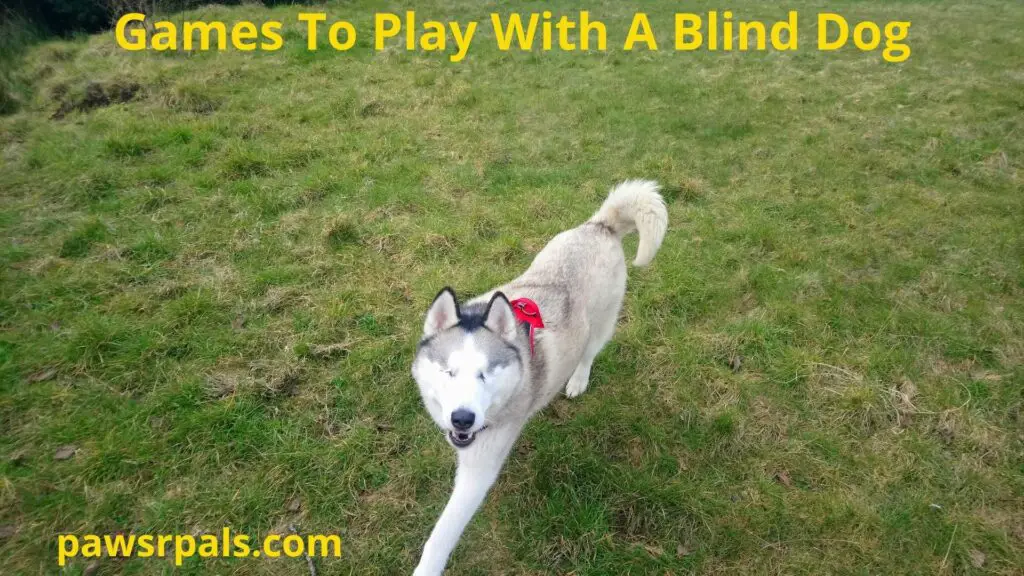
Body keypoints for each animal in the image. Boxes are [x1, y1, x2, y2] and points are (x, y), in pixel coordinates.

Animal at [411, 178, 667, 569]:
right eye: (448, 371)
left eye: (486, 374)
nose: (462, 419)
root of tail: (600, 226)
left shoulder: (479, 468)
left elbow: (441, 536)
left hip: (601, 325)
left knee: (589, 353)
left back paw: (577, 381)